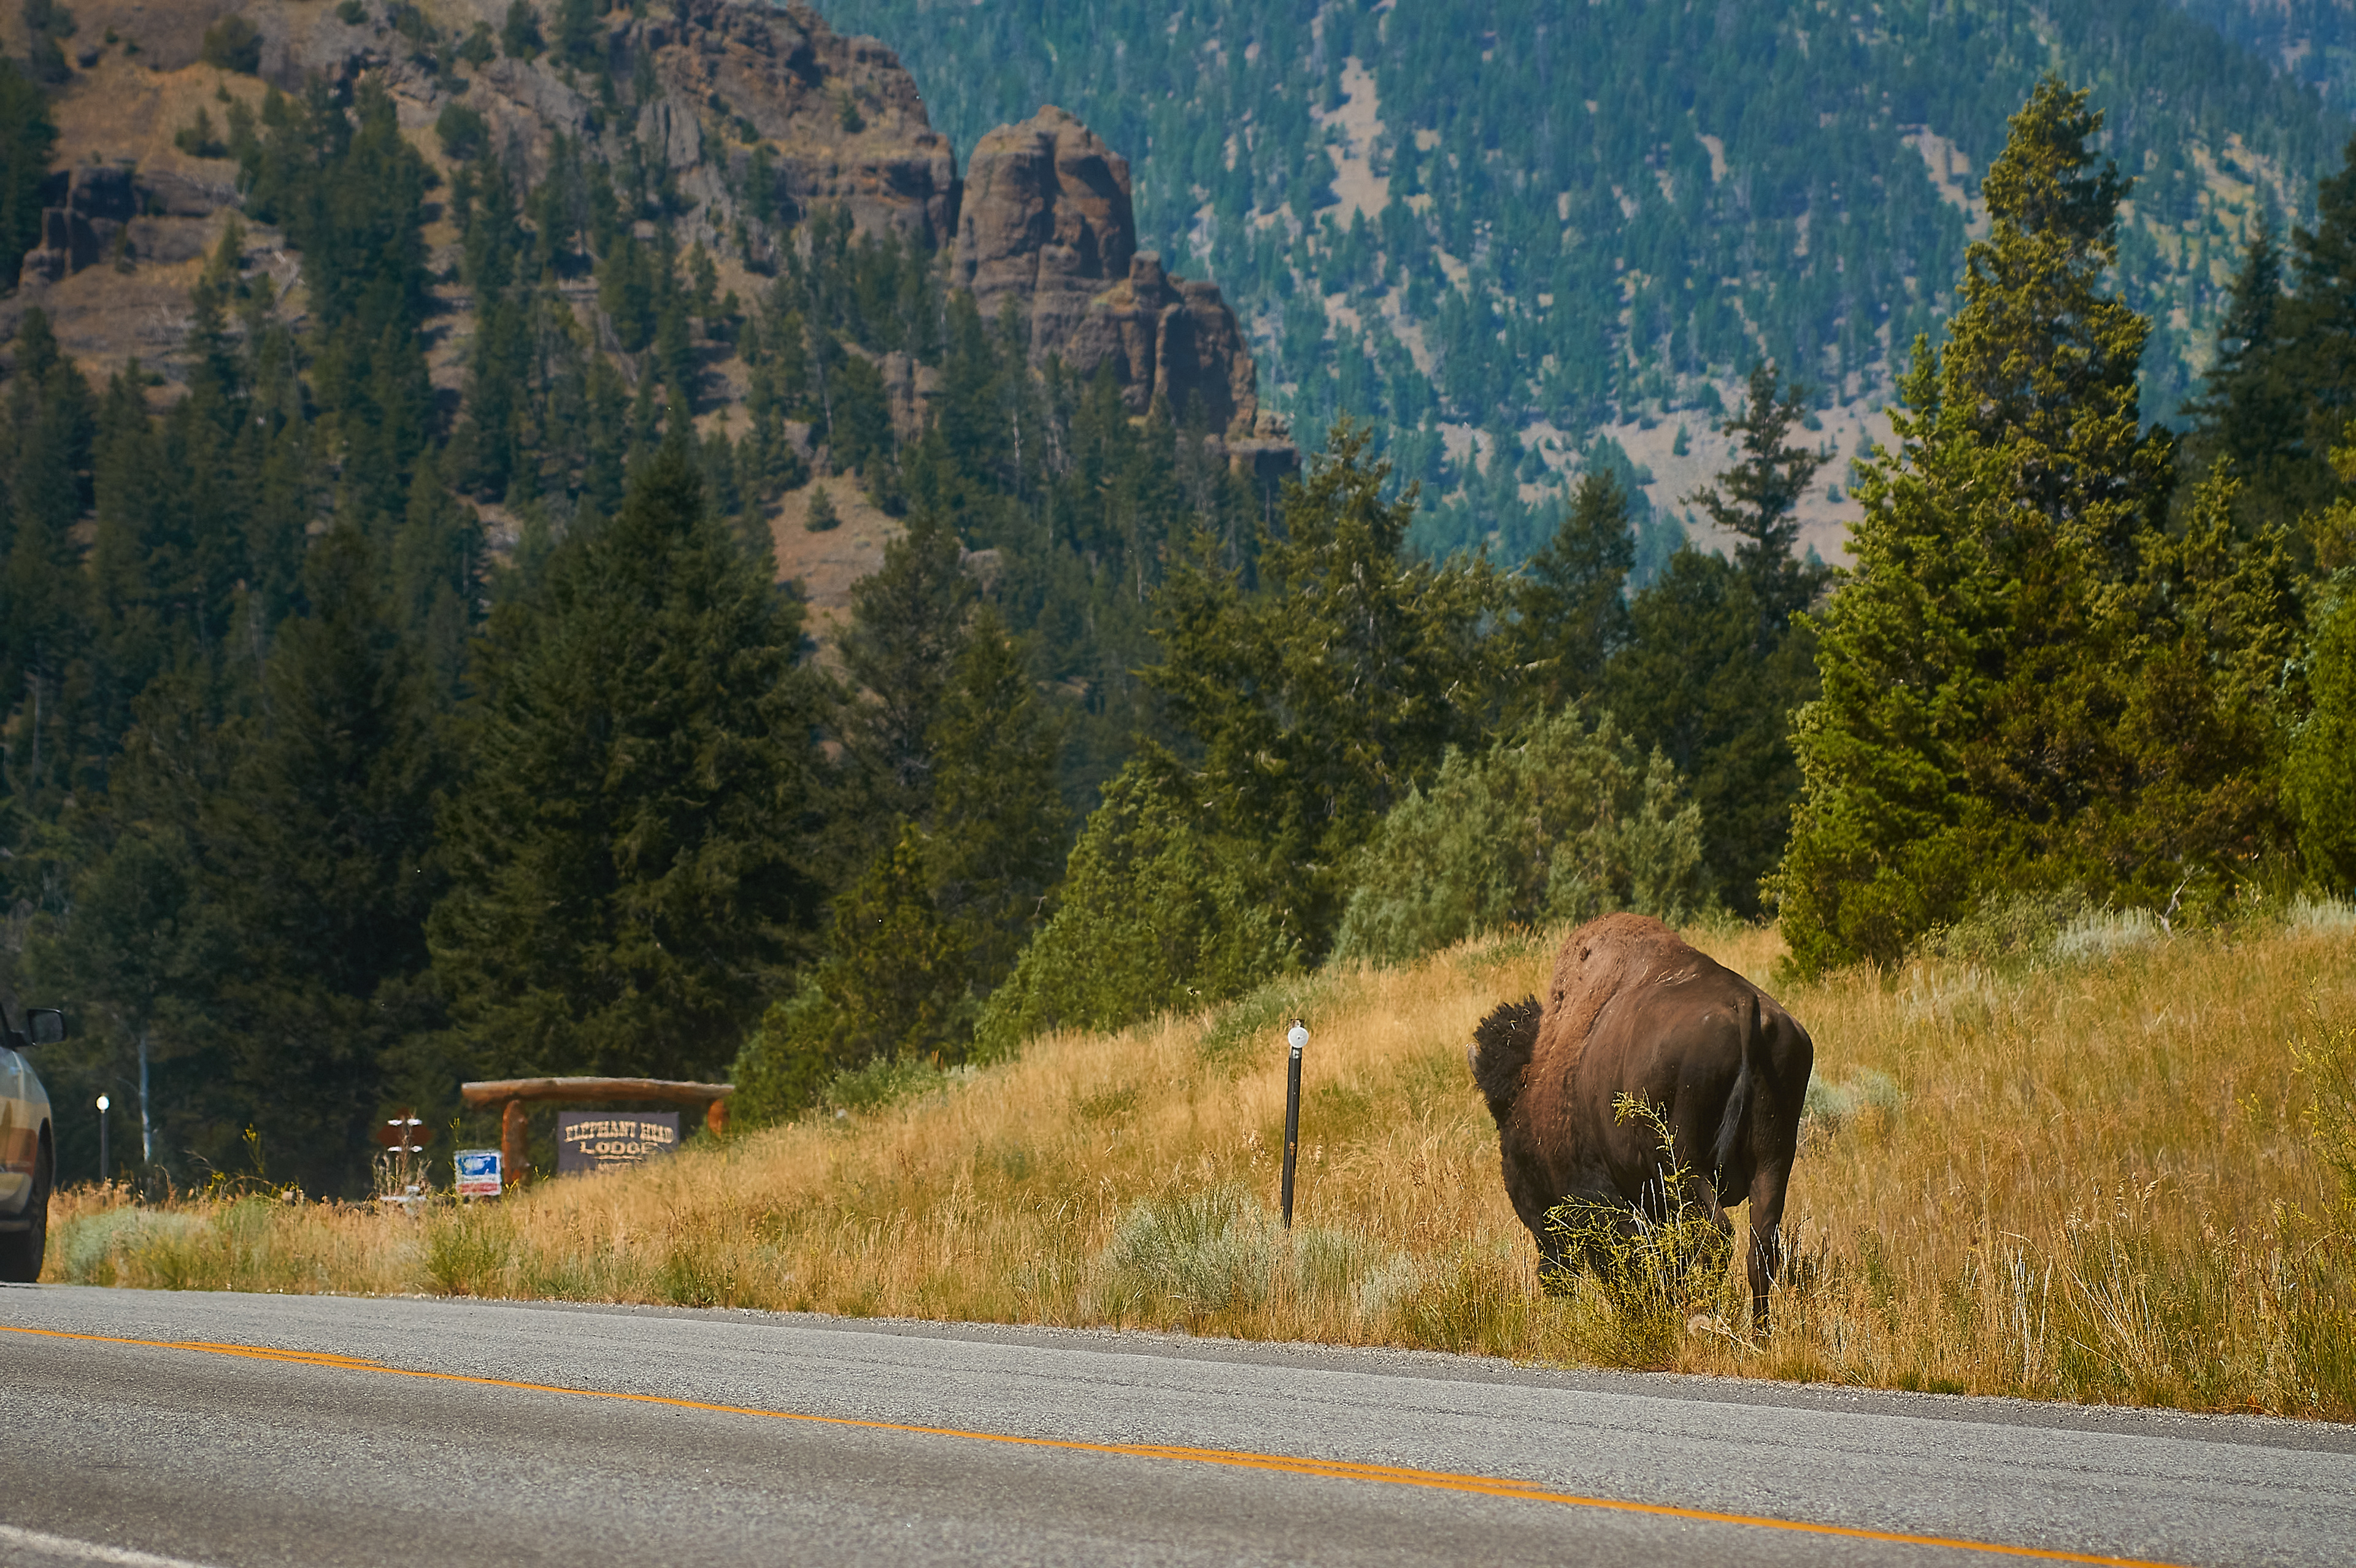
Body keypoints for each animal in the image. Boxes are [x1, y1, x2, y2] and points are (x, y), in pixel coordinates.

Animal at [1468, 913, 1815, 1333]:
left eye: (1505, 1122)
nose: (1552, 1282)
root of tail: (1743, 1003)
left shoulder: (1602, 1195)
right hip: (1773, 1160)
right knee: (1761, 1248)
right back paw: (1758, 1333)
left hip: (1683, 1166)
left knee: (1716, 1237)